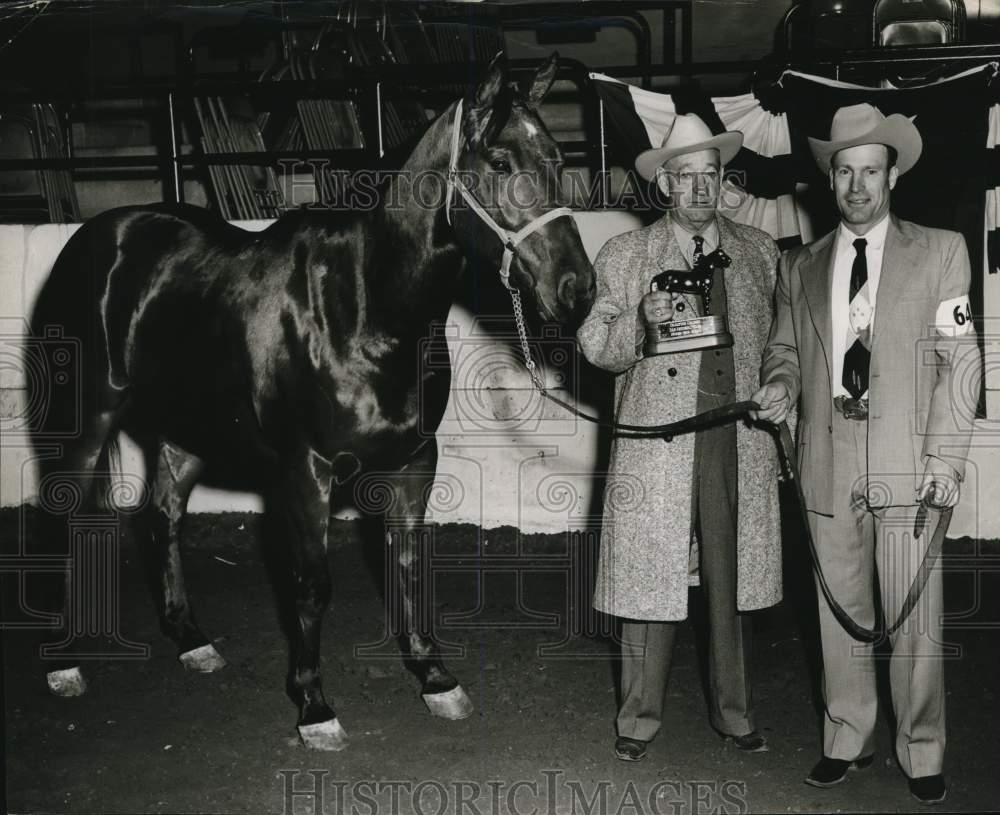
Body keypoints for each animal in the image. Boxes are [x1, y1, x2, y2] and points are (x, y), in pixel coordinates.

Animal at [29, 54, 592, 748]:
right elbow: (311, 584)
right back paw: (64, 663)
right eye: (500, 162)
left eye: (559, 161)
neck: (364, 308)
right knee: (58, 521)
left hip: (185, 432)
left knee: (161, 519)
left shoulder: (414, 463)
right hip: (83, 423)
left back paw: (192, 642)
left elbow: (409, 565)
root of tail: (99, 236)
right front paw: (314, 707)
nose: (577, 289)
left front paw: (435, 679)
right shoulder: (305, 470)